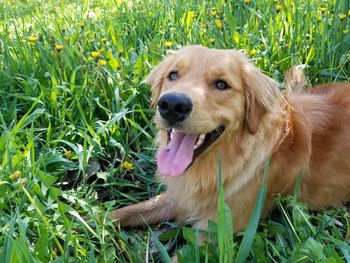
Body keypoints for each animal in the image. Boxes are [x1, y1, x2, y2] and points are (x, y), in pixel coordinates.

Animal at [110, 45, 350, 233]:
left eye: (221, 84)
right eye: (173, 75)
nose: (172, 105)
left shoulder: (216, 230)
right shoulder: (180, 196)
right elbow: (127, 211)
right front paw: (100, 223)